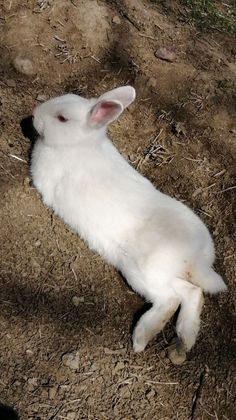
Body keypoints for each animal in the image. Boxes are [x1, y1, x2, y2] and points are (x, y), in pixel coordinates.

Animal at [30, 86, 227, 364]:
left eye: (62, 118)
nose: (34, 115)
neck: (79, 143)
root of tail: (198, 259)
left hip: (141, 272)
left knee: (170, 300)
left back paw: (141, 338)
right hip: (160, 275)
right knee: (192, 293)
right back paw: (184, 341)